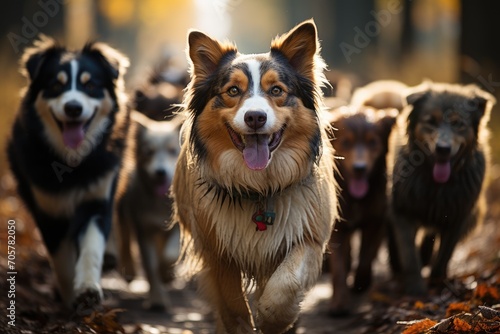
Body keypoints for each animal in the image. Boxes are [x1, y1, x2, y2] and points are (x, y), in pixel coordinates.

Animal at [7, 36, 130, 308]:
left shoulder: (97, 196)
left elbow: (92, 247)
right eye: (56, 85)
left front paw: (88, 290)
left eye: (90, 85)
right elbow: (61, 259)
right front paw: (71, 297)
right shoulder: (49, 208)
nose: (73, 108)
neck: (73, 163)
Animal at [390, 82, 492, 296]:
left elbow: (444, 255)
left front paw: (438, 284)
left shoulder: (458, 217)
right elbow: (409, 257)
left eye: (458, 123)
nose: (442, 149)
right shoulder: (402, 212)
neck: (437, 184)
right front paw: (416, 289)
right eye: (430, 121)